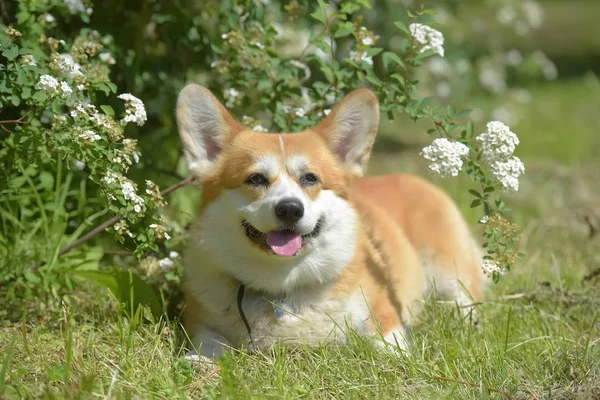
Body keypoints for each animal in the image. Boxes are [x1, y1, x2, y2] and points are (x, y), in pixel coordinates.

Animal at [175, 84, 482, 360]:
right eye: (256, 179)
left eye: (310, 178)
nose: (290, 209)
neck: (282, 285)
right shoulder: (201, 322)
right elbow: (210, 343)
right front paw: (201, 360)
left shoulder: (384, 315)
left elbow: (391, 348)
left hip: (447, 268)